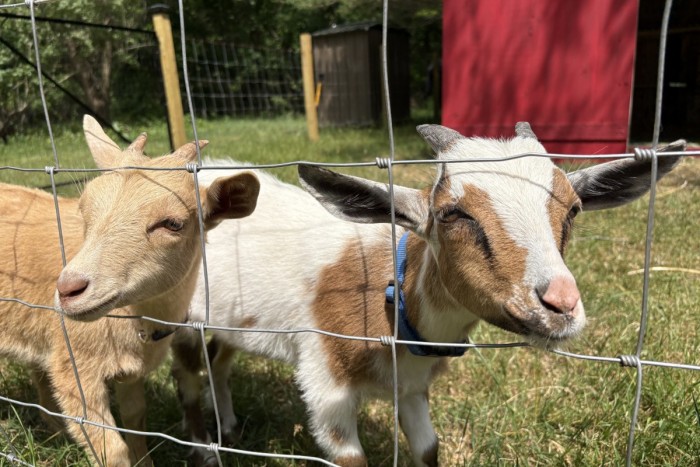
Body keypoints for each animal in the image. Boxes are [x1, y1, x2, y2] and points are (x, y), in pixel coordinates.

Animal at [0, 115, 260, 466]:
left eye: (172, 223)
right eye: (84, 208)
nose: (68, 289)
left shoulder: (130, 371)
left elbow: (136, 421)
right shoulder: (76, 368)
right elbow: (112, 450)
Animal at [171, 123, 684, 466]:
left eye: (574, 209)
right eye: (452, 213)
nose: (560, 305)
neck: (393, 300)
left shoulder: (415, 387)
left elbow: (428, 448)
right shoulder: (326, 385)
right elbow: (350, 456)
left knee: (219, 359)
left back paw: (229, 426)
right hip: (177, 318)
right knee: (189, 379)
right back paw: (205, 449)